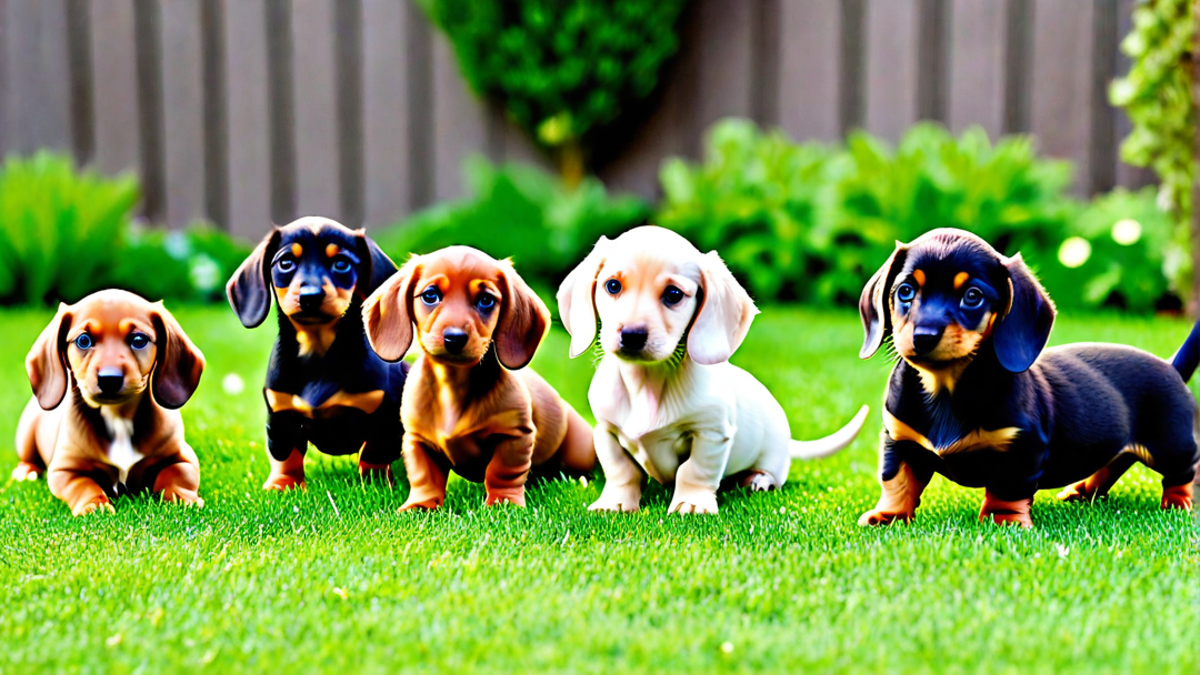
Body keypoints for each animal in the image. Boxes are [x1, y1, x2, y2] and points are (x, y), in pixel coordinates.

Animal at [14, 289, 205, 514]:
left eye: (139, 339)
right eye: (84, 340)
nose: (109, 379)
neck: (118, 418)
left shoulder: (183, 458)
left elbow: (176, 476)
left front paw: (181, 498)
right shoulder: (64, 470)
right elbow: (83, 485)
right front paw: (94, 505)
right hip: (27, 437)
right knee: (29, 458)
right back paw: (26, 471)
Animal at [226, 214, 410, 487]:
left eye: (341, 264)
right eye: (286, 263)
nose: (310, 296)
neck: (318, 354)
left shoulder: (385, 415)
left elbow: (373, 452)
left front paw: (374, 484)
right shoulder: (280, 416)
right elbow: (285, 455)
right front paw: (282, 485)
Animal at [360, 243, 595, 506]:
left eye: (486, 300)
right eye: (430, 295)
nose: (454, 338)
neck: (453, 385)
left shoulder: (514, 435)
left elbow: (502, 471)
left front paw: (502, 502)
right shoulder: (418, 440)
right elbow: (424, 476)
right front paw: (420, 504)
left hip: (581, 451)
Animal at [556, 225, 868, 514]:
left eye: (673, 294)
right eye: (612, 286)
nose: (632, 335)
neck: (647, 382)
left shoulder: (711, 433)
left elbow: (694, 471)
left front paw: (691, 503)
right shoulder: (606, 432)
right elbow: (621, 471)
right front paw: (616, 503)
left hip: (773, 458)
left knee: (772, 474)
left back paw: (758, 479)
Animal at [859, 225, 1195, 526]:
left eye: (972, 296)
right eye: (905, 291)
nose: (924, 337)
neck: (945, 387)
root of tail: (1171, 365)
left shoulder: (1022, 448)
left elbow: (1006, 489)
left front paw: (1003, 520)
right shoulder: (898, 438)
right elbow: (896, 480)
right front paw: (888, 515)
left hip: (1170, 447)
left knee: (1183, 473)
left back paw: (1177, 504)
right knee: (1112, 464)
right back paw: (1082, 490)